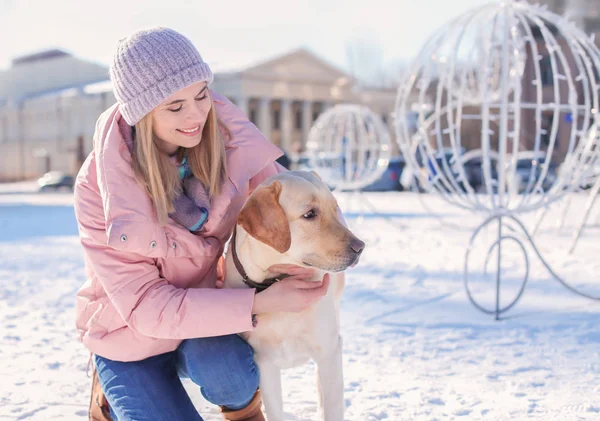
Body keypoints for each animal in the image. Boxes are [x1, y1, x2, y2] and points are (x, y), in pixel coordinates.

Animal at [225, 169, 366, 418]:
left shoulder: (328, 351)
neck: (273, 280)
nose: (360, 247)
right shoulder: (265, 364)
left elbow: (333, 406)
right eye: (310, 214)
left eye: (335, 207)